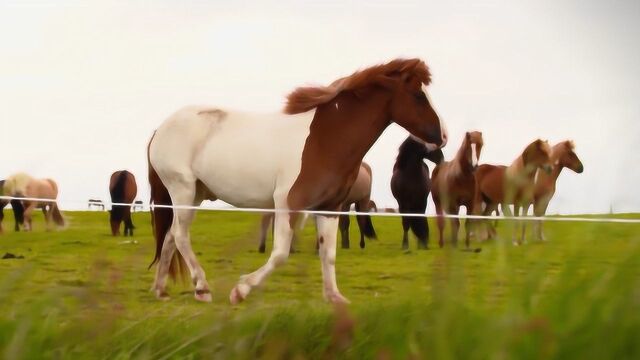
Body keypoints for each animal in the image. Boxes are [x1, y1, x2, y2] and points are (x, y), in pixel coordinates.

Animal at [149, 58, 450, 304]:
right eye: (418, 95)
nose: (444, 137)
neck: (324, 139)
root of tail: (159, 129)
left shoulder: (329, 207)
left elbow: (328, 253)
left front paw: (335, 297)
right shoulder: (288, 201)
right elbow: (281, 252)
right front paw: (241, 289)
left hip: (195, 194)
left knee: (170, 237)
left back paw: (161, 290)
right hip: (183, 189)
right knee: (180, 236)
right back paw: (202, 288)